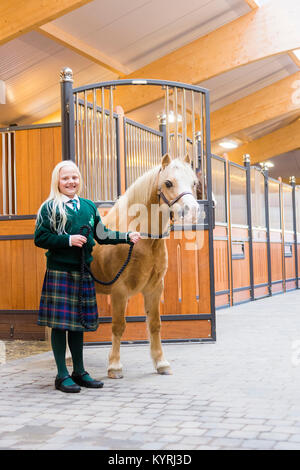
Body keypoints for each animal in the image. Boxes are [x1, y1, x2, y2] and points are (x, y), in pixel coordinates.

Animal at [91, 154, 199, 378]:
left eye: (194, 183)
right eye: (168, 183)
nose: (192, 211)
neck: (142, 239)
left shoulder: (154, 288)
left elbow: (155, 324)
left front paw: (161, 363)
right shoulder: (119, 291)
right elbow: (118, 326)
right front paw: (114, 366)